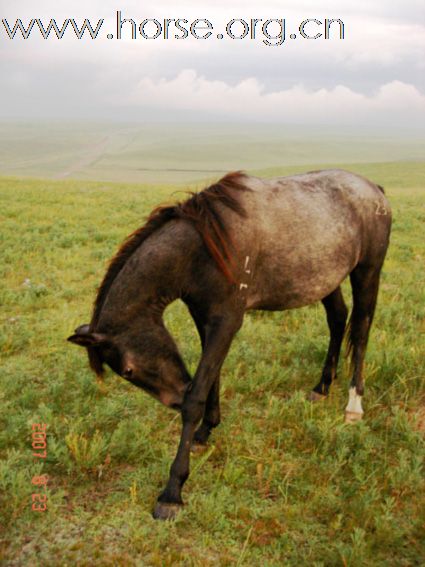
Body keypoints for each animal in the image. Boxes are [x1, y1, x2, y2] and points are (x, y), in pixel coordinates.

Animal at [67, 169, 390, 520]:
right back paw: (322, 386)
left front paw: (172, 491)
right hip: (326, 279)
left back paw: (353, 404)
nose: (174, 399)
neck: (203, 249)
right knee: (338, 318)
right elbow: (212, 377)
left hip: (367, 272)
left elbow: (198, 393)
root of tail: (374, 188)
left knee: (361, 330)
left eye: (127, 370)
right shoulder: (205, 318)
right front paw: (206, 430)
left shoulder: (227, 321)